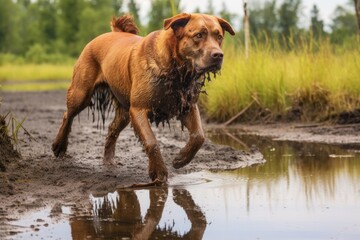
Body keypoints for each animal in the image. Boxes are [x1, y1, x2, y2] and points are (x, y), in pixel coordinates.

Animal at [52, 13, 235, 182]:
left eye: (219, 37)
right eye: (199, 35)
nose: (218, 55)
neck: (176, 68)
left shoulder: (186, 106)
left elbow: (199, 136)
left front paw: (180, 159)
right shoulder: (138, 109)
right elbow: (151, 141)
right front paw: (158, 172)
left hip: (124, 110)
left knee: (112, 129)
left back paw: (108, 160)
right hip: (81, 92)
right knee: (68, 114)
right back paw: (59, 146)